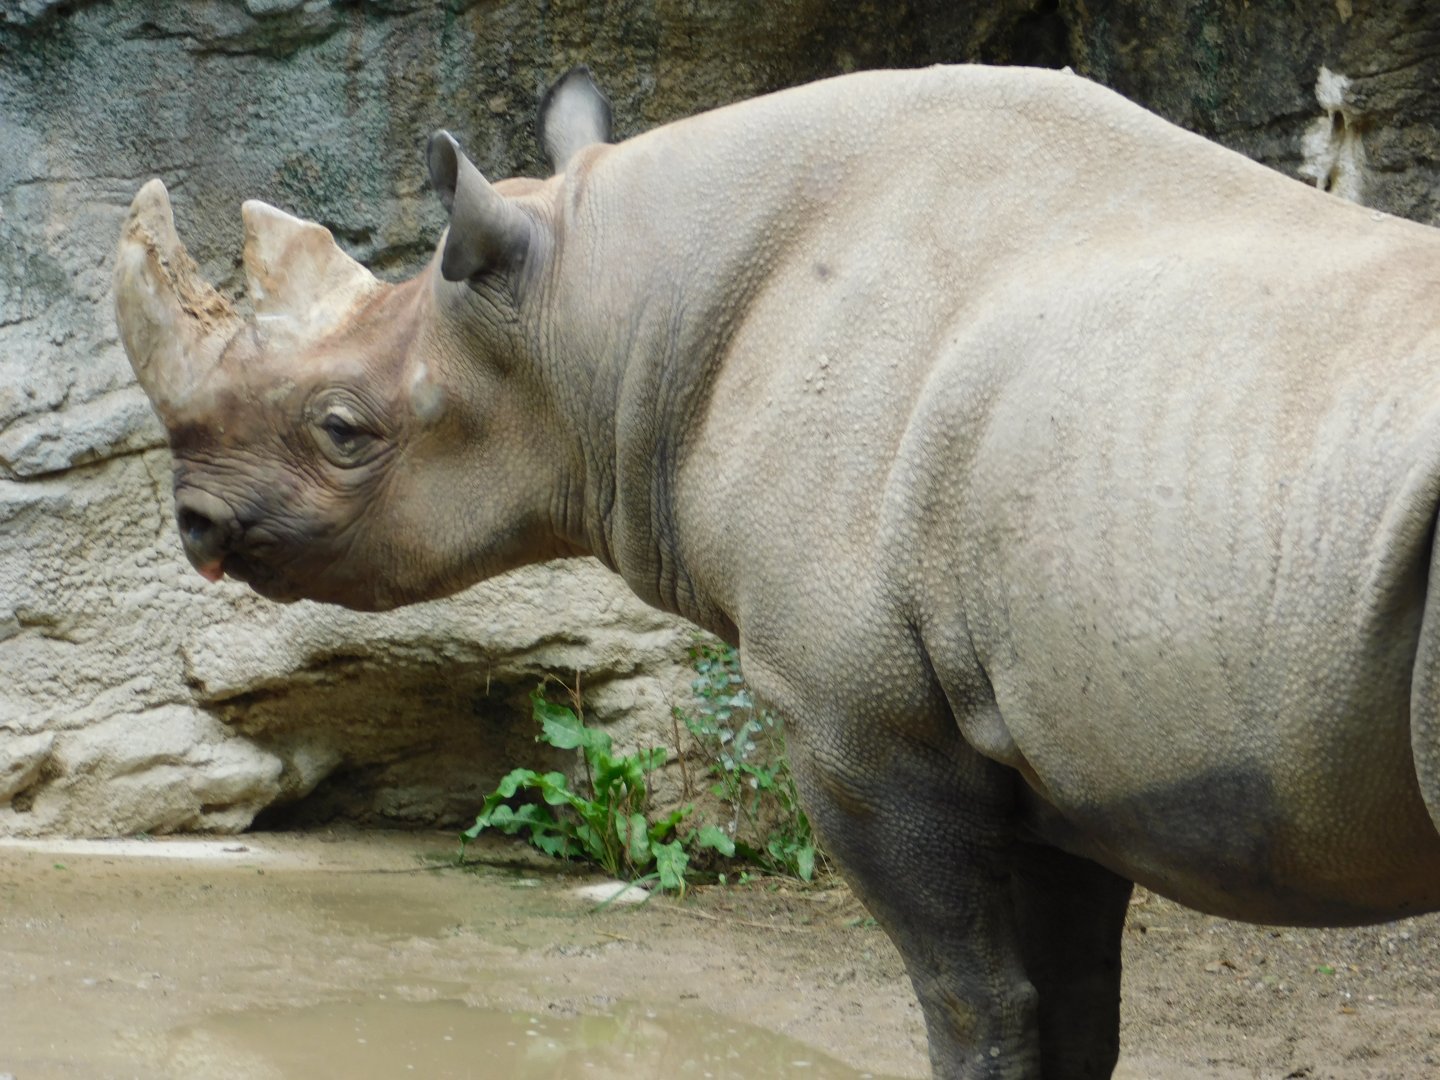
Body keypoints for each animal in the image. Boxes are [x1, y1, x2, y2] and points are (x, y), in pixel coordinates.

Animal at [113, 64, 1440, 1078]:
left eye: (343, 431)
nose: (193, 523)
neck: (603, 311)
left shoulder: (860, 721)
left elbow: (975, 1004)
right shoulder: (1050, 737)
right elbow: (1071, 1014)